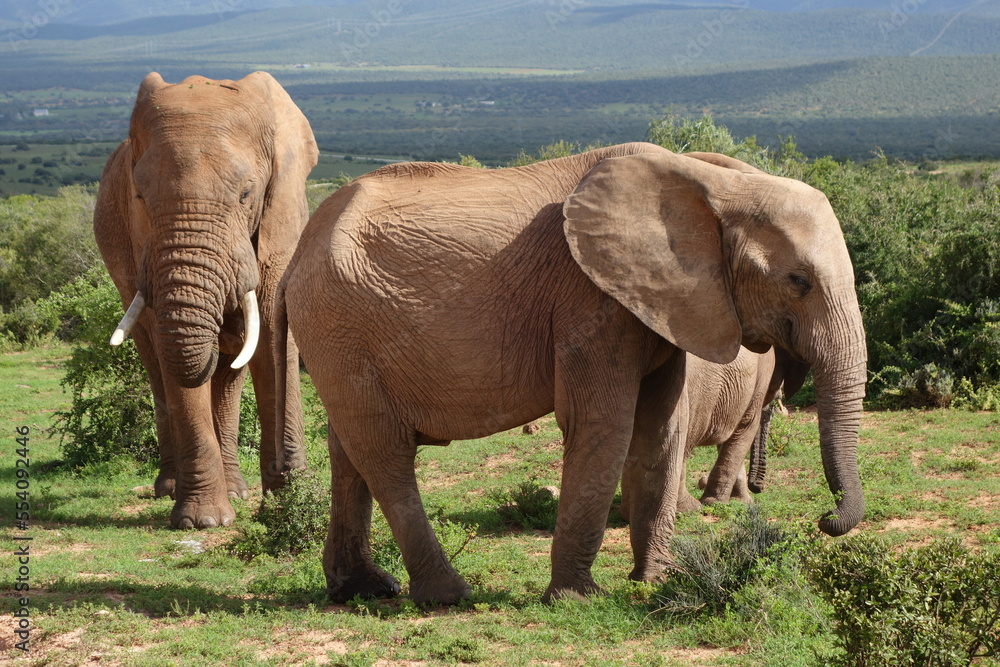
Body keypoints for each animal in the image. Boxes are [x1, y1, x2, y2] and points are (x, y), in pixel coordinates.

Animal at [94, 72, 317, 529]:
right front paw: (203, 521)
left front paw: (288, 503)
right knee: (154, 360)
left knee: (231, 371)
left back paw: (237, 490)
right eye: (139, 196)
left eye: (247, 194)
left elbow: (272, 331)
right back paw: (170, 488)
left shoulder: (282, 214)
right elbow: (176, 357)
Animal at [275, 141, 867, 604]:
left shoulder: (659, 305)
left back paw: (365, 589)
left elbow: (659, 431)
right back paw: (449, 595)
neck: (717, 184)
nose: (825, 521)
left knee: (349, 451)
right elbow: (602, 426)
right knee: (385, 453)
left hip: (338, 335)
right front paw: (578, 598)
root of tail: (293, 262)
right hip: (339, 323)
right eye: (798, 281)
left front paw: (657, 580)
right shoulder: (591, 300)